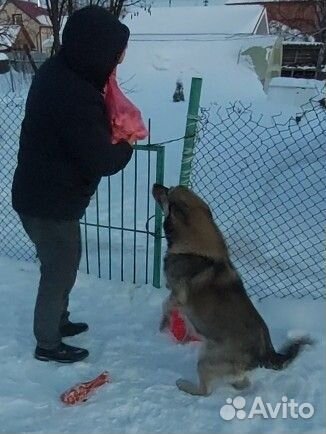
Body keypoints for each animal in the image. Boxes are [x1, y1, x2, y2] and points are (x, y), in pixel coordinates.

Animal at [153, 183, 314, 396]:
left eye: (167, 191)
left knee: (205, 390)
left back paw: (185, 386)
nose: (155, 185)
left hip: (206, 360)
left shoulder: (178, 295)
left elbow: (165, 304)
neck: (197, 247)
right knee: (242, 382)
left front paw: (164, 323)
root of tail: (266, 353)